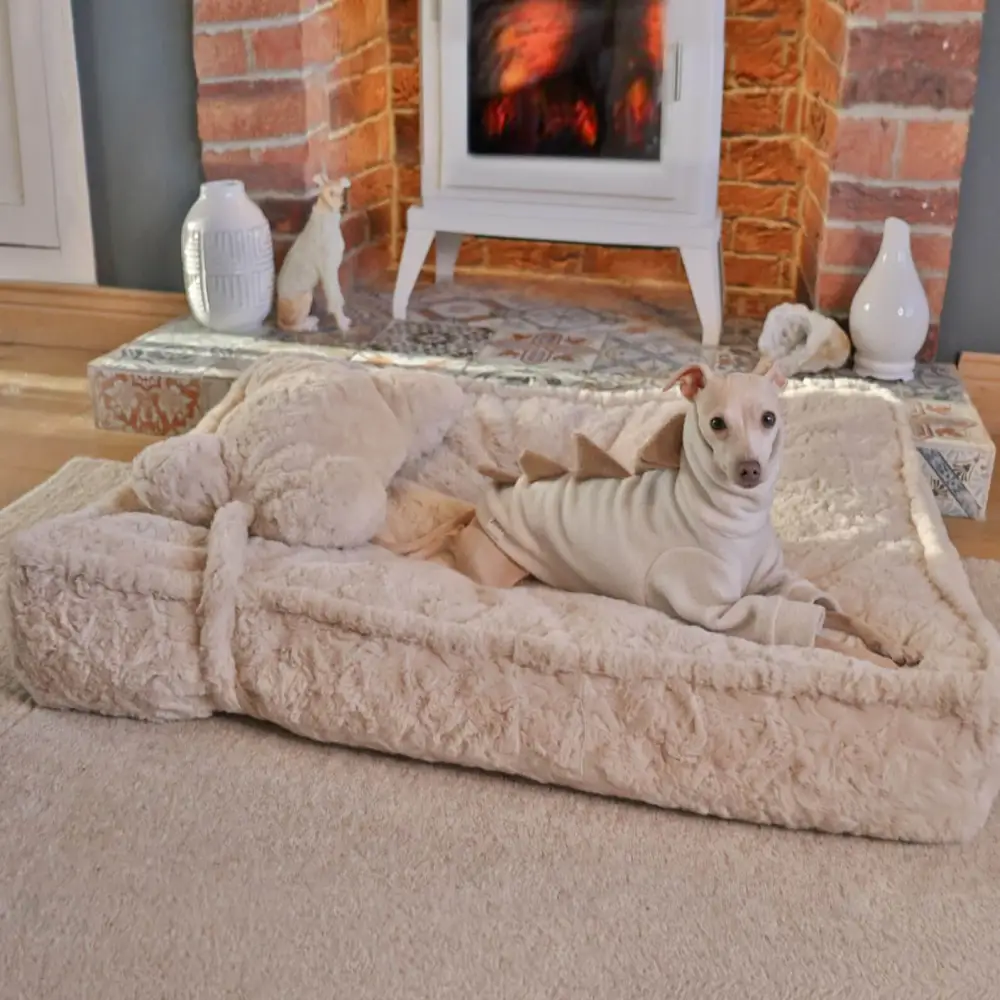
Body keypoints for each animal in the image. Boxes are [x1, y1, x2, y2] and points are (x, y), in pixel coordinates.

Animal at [274, 173, 352, 336]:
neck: (327, 215)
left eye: (342, 192)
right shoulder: (328, 271)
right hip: (306, 296)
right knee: (292, 326)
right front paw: (342, 323)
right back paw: (309, 325)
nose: (344, 207)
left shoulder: (334, 270)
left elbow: (339, 295)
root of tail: (278, 317)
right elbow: (335, 299)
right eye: (331, 193)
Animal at [402, 364, 916, 668]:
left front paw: (891, 643)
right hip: (496, 565)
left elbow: (839, 613)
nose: (750, 469)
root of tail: (486, 502)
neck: (736, 517)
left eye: (769, 419)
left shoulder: (775, 582)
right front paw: (878, 662)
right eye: (716, 424)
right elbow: (821, 637)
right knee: (452, 542)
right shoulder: (726, 612)